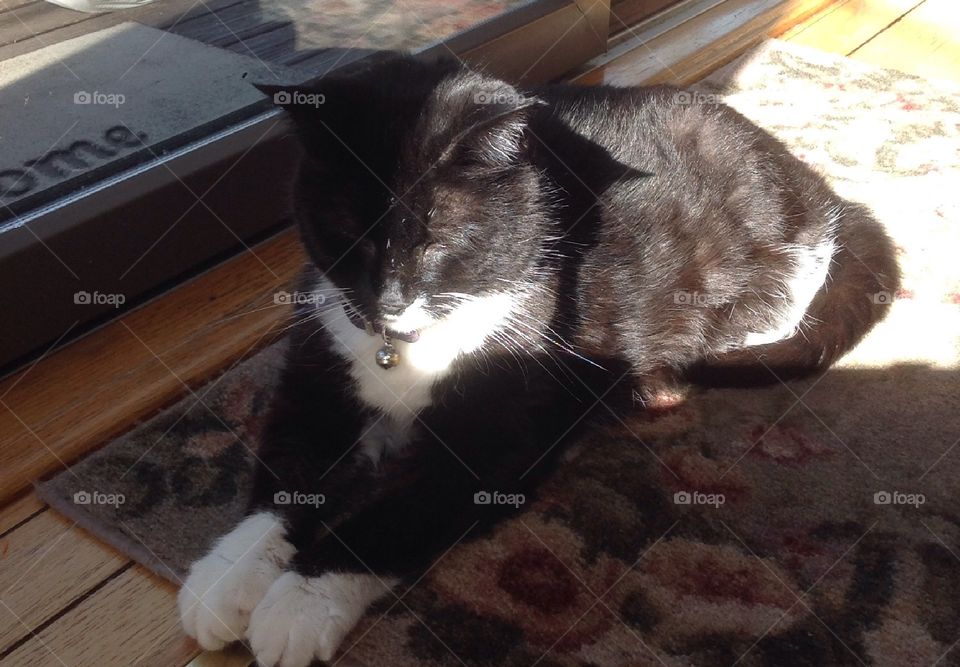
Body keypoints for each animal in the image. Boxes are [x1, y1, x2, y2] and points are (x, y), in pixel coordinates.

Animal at [176, 53, 896, 667]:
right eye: (348, 226)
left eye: (436, 237)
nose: (387, 298)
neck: (403, 347)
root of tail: (819, 187)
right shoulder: (317, 375)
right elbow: (285, 471)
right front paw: (226, 576)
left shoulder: (496, 442)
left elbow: (396, 513)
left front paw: (298, 602)